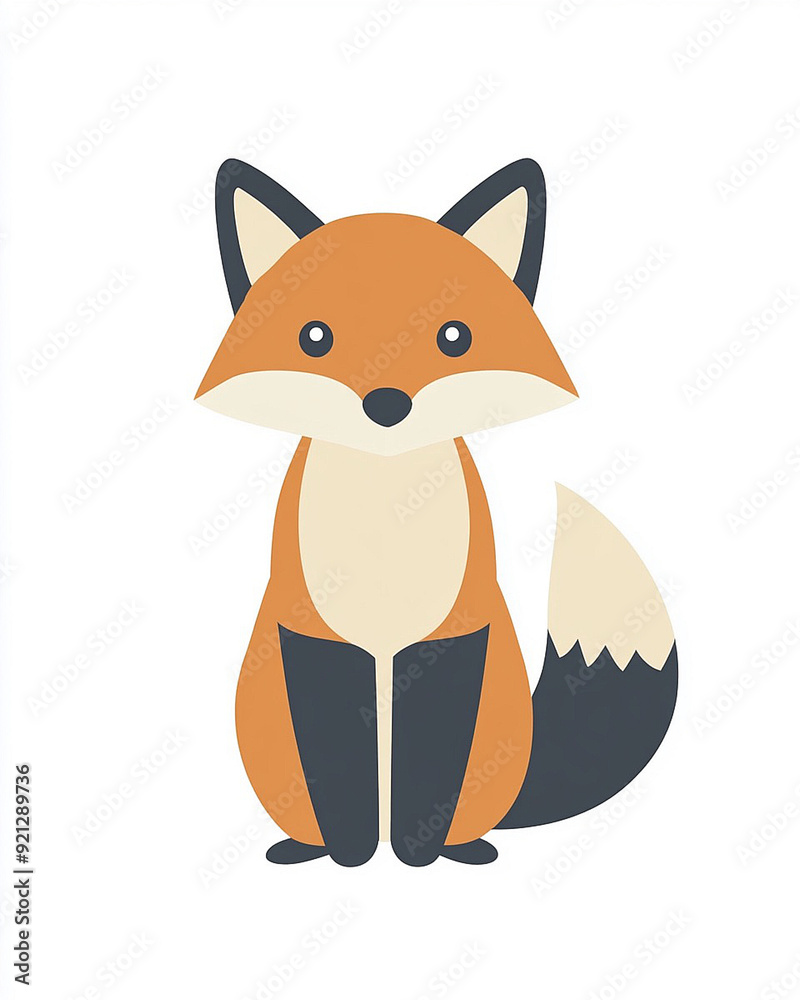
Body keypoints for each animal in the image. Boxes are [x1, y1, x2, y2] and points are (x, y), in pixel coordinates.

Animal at [195, 158, 678, 867]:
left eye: (454, 336)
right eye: (315, 338)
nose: (386, 404)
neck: (387, 517)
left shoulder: (453, 634)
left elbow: (431, 759)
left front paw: (415, 854)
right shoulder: (312, 634)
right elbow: (336, 760)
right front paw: (353, 857)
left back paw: (460, 848)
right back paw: (308, 849)